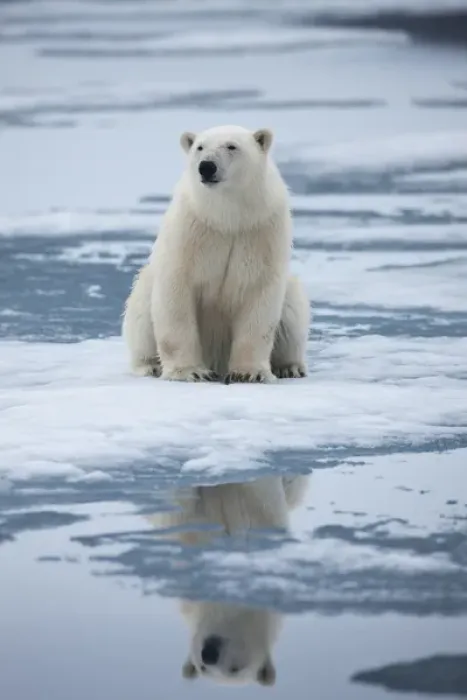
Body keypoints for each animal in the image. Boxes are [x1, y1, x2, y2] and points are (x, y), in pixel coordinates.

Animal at [122, 124, 310, 383]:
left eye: (231, 146)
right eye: (199, 147)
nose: (207, 166)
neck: (226, 218)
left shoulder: (261, 231)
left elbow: (259, 299)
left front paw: (249, 373)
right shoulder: (190, 231)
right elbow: (176, 294)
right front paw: (190, 372)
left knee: (292, 310)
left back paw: (290, 367)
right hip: (145, 292)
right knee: (140, 312)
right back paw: (150, 366)